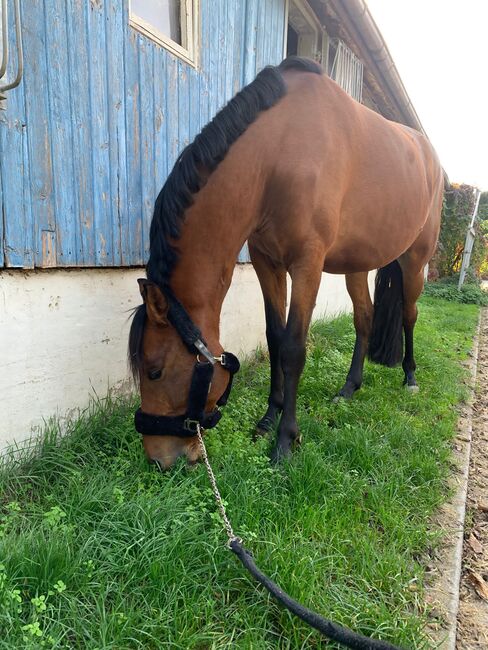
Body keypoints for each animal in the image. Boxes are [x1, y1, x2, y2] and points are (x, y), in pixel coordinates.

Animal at [127, 57, 444, 470]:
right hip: (357, 265)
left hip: (414, 261)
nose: (158, 458)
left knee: (409, 315)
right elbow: (275, 338)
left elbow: (294, 347)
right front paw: (267, 419)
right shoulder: (268, 263)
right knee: (365, 317)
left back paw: (409, 377)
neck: (277, 156)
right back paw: (349, 387)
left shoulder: (307, 265)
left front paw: (285, 440)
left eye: (155, 371)